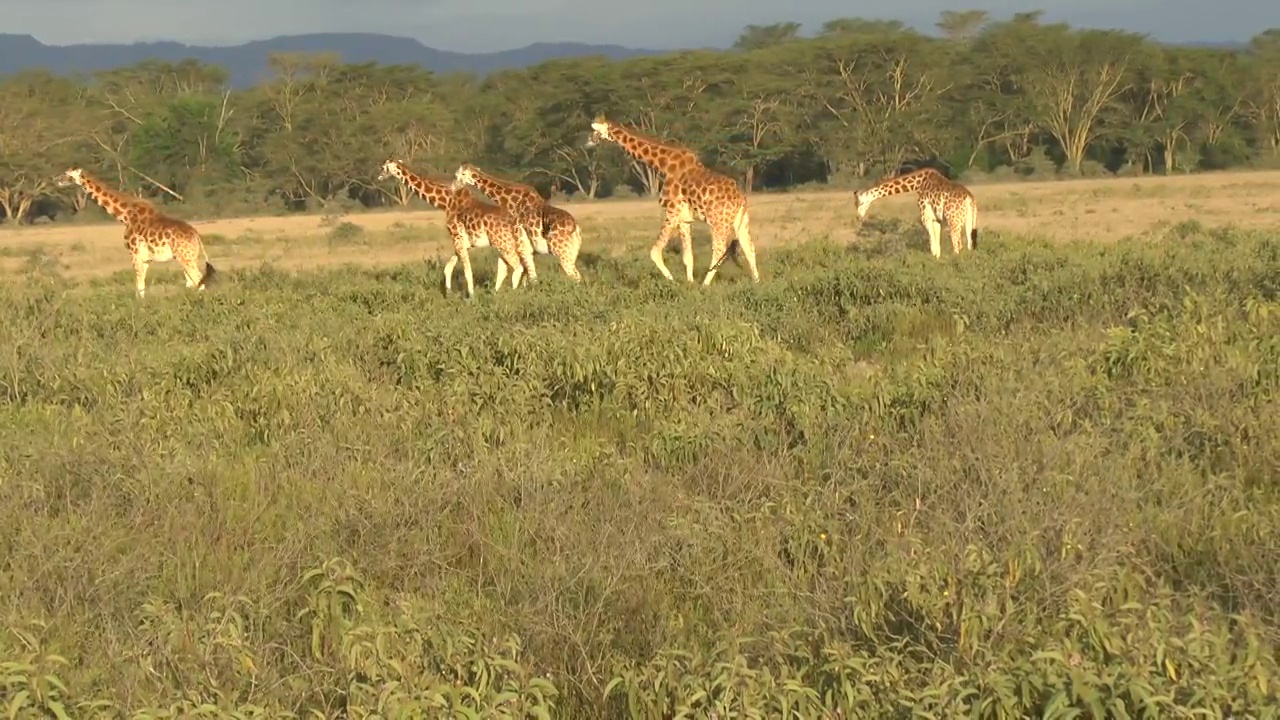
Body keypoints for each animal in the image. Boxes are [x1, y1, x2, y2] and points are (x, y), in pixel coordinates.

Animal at [56, 167, 217, 297]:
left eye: (67, 174)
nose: (56, 180)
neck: (125, 215)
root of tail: (196, 235)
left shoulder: (134, 253)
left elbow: (139, 287)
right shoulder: (145, 258)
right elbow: (142, 286)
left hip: (185, 257)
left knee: (198, 279)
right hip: (188, 256)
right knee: (195, 281)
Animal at [378, 158, 540, 297]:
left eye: (384, 167)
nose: (379, 176)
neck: (446, 202)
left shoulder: (456, 237)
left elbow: (467, 271)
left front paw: (471, 296)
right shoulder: (463, 242)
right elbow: (447, 268)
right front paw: (449, 294)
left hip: (505, 244)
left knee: (519, 267)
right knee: (523, 267)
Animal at [455, 162, 586, 280]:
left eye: (461, 174)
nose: (455, 184)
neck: (513, 204)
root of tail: (575, 227)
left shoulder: (521, 245)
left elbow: (530, 278)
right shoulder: (526, 249)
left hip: (561, 251)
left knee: (575, 276)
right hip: (573, 251)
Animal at [588, 114, 757, 285]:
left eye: (595, 130)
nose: (589, 141)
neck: (663, 164)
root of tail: (741, 198)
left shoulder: (672, 211)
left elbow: (655, 251)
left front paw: (673, 281)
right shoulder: (684, 219)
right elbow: (688, 257)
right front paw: (690, 283)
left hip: (718, 222)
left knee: (720, 249)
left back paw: (705, 284)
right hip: (740, 220)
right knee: (748, 247)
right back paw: (756, 281)